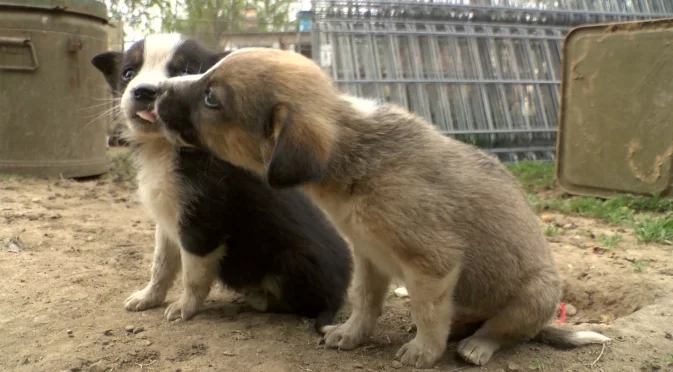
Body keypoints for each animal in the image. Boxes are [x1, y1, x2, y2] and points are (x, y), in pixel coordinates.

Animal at [90, 34, 352, 332]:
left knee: (300, 304)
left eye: (185, 72)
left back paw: (260, 298)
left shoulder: (202, 224)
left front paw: (184, 308)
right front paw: (148, 297)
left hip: (293, 262)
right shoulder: (167, 220)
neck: (167, 147)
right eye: (128, 73)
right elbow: (161, 264)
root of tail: (338, 297)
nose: (144, 92)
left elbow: (193, 273)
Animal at [151, 48, 608, 368]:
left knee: (504, 331)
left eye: (211, 98)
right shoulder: (369, 255)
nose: (152, 95)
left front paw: (423, 352)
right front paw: (351, 335)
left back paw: (476, 345)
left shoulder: (432, 263)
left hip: (534, 296)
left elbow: (428, 311)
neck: (351, 156)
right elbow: (366, 301)